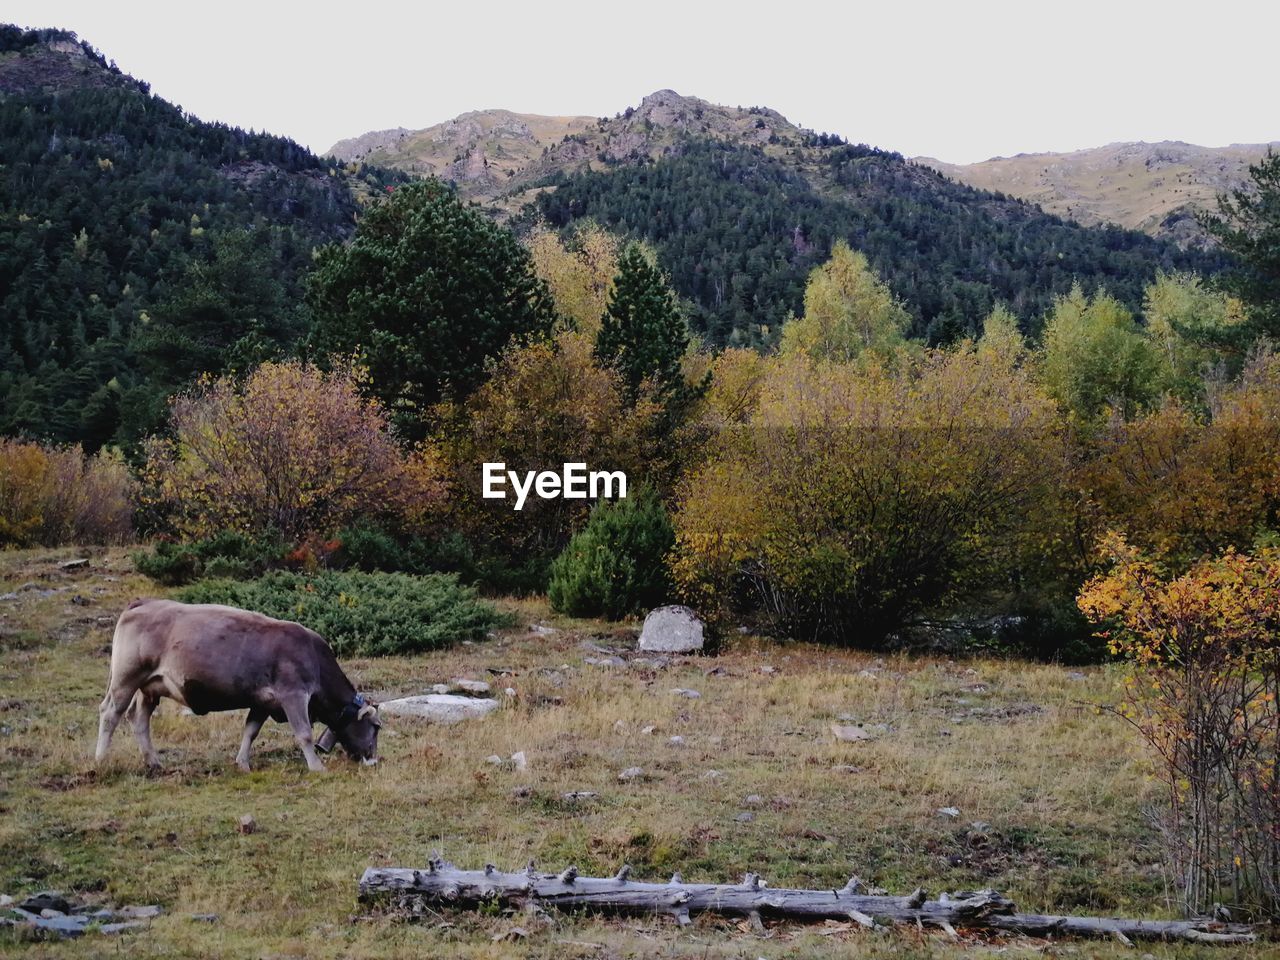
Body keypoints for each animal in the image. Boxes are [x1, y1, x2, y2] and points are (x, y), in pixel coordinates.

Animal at [95, 601, 378, 773]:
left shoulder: (263, 702)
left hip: (149, 687)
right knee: (111, 713)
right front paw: (317, 766)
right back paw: (100, 759)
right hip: (125, 679)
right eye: (376, 727)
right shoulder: (293, 694)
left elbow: (250, 731)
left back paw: (154, 762)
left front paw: (242, 762)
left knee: (139, 717)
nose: (374, 760)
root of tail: (144, 603)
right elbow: (304, 733)